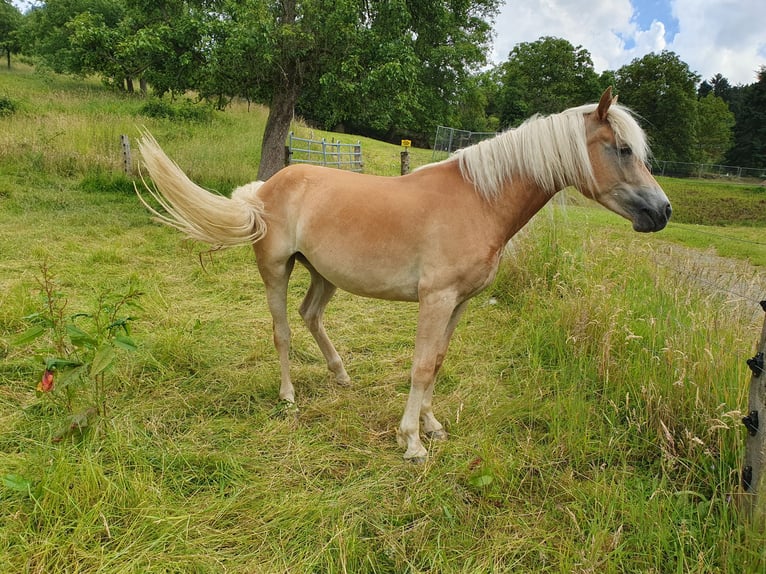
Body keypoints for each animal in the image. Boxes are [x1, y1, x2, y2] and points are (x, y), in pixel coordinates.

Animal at [136, 89, 672, 464]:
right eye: (623, 149)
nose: (662, 211)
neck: (479, 199)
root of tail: (266, 189)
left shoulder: (458, 302)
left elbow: (437, 362)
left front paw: (432, 426)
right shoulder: (436, 299)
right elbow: (420, 366)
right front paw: (411, 441)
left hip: (323, 274)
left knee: (311, 316)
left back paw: (342, 376)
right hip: (276, 270)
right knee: (283, 330)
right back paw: (288, 397)